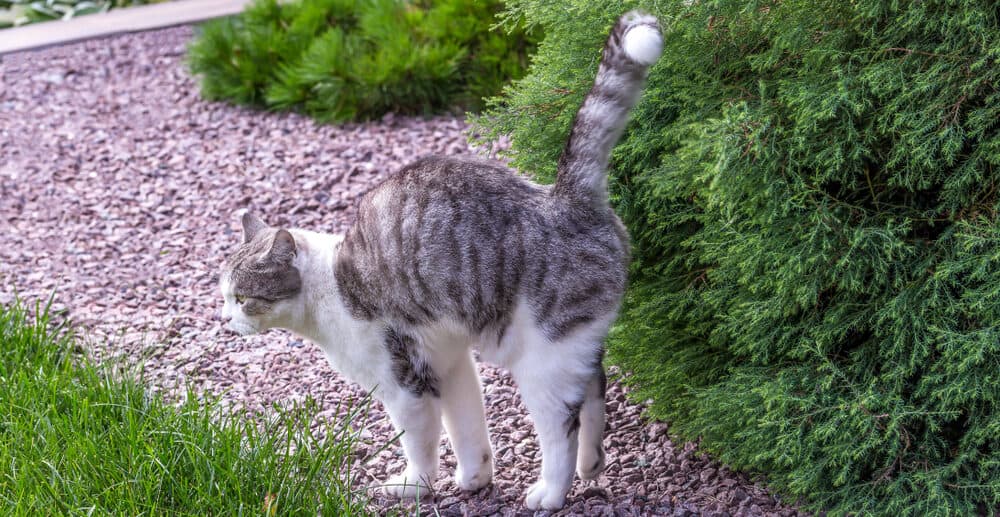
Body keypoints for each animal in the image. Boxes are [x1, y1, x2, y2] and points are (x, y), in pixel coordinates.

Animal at [215, 11, 660, 508]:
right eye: (224, 296)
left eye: (243, 298)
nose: (224, 319)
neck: (328, 286)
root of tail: (564, 198)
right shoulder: (448, 362)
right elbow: (467, 427)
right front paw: (475, 479)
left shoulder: (403, 383)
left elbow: (419, 442)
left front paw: (415, 486)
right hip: (575, 345)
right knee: (596, 387)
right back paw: (591, 464)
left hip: (543, 359)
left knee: (562, 425)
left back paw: (551, 491)